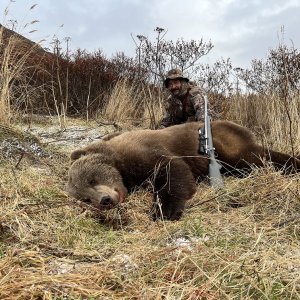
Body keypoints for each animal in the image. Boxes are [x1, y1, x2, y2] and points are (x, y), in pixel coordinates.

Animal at [66, 119, 300, 220]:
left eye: (93, 179)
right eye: (85, 198)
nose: (104, 200)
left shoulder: (145, 151)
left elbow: (174, 170)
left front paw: (165, 211)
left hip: (228, 143)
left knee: (256, 156)